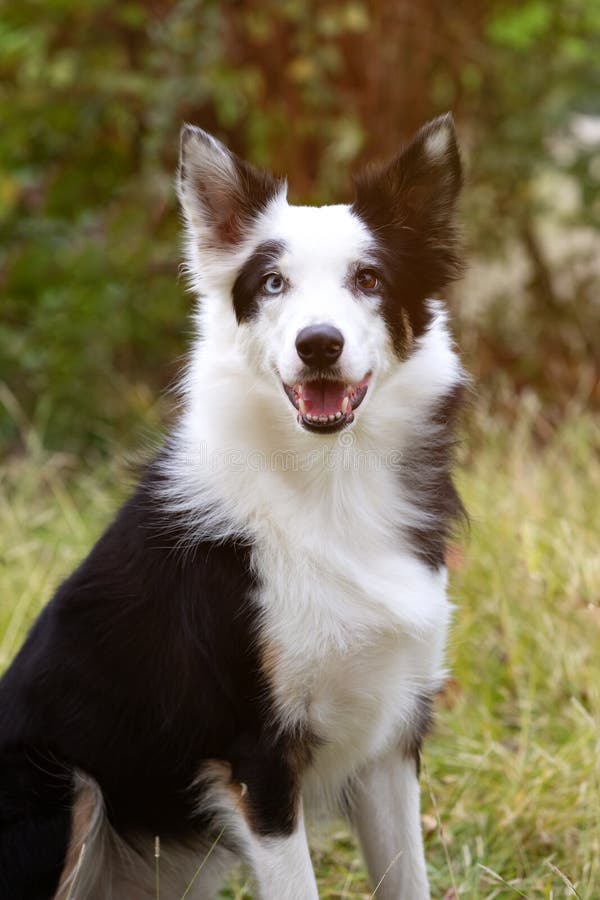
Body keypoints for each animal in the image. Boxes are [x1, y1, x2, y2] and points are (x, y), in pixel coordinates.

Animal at [0, 114, 466, 900]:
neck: (327, 483)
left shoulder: (389, 739)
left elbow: (408, 881)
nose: (319, 344)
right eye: (272, 284)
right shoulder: (257, 761)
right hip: (64, 786)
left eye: (369, 279)